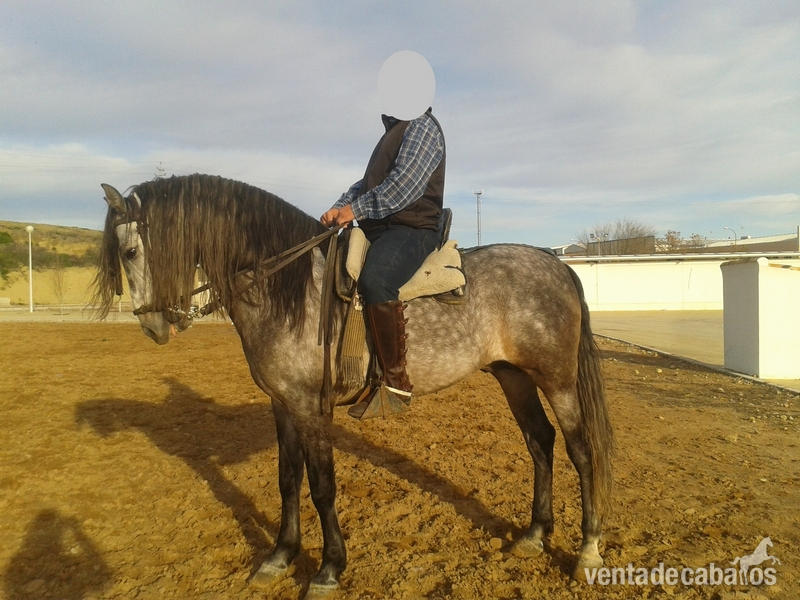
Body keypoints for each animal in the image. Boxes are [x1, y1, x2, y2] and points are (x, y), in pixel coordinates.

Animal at [93, 174, 614, 597]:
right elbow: (288, 479)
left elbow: (322, 486)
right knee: (539, 442)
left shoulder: (311, 406)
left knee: (580, 449)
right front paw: (279, 557)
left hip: (557, 380)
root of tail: (556, 265)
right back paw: (534, 535)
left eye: (131, 251)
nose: (153, 327)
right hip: (513, 376)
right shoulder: (283, 403)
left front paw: (327, 569)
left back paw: (588, 550)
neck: (288, 287)